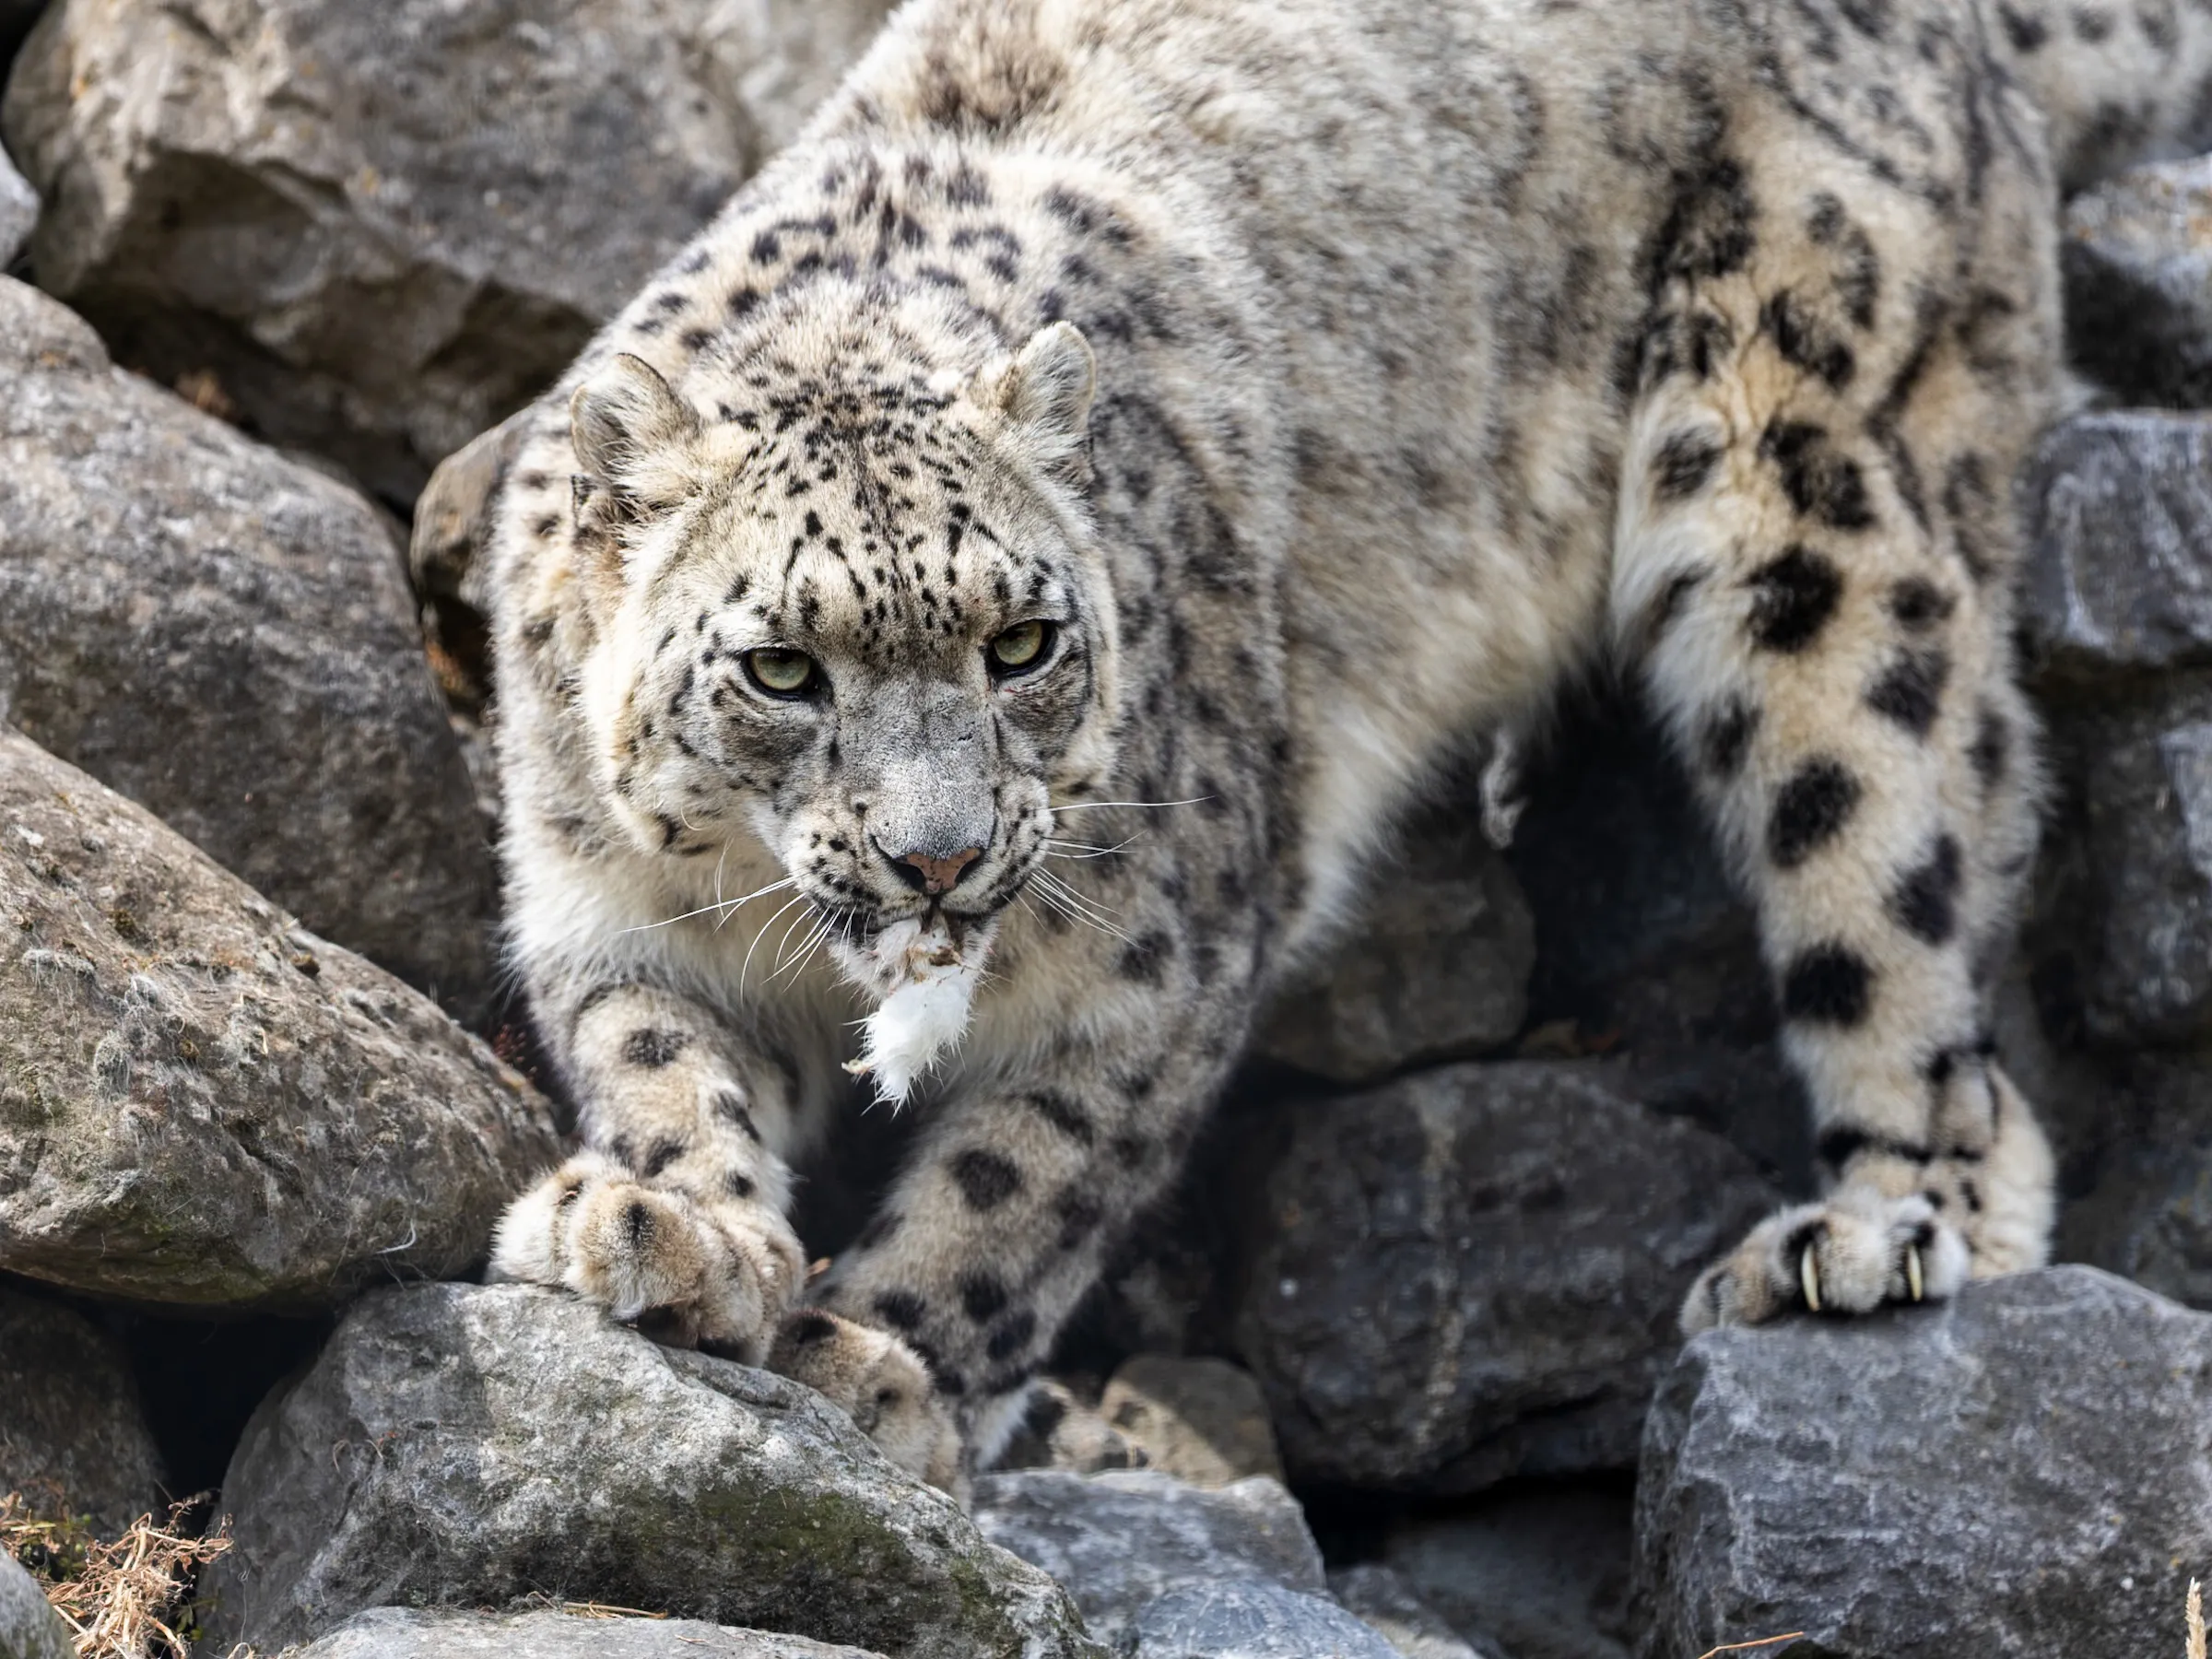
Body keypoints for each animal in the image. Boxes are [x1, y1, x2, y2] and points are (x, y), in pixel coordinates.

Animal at [477, 0, 2212, 1491]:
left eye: (1020, 643)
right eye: (782, 668)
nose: (941, 856)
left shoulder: (1159, 957)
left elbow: (1021, 1185)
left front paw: (881, 1366)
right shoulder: (606, 906)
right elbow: (661, 1061)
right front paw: (670, 1232)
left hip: (1807, 494)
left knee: (1906, 844)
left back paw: (1874, 1227)